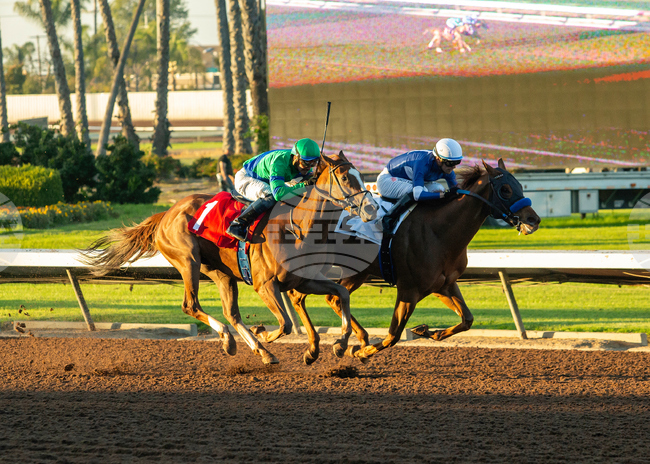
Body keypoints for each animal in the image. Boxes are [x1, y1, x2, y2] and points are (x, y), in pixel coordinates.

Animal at [81, 151, 378, 365]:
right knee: (191, 305)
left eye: (359, 175)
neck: (297, 227)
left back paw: (253, 348)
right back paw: (232, 340)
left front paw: (340, 345)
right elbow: (284, 323)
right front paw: (266, 333)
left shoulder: (304, 279)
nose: (372, 208)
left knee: (231, 313)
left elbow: (341, 293)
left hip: (221, 272)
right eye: (345, 178)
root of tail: (166, 212)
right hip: (188, 260)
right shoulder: (265, 285)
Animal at [284, 159, 541, 364]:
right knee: (300, 295)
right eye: (505, 189)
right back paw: (318, 349)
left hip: (357, 272)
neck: (439, 231)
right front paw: (361, 352)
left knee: (332, 298)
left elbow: (467, 319)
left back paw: (349, 340)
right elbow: (393, 335)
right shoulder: (409, 290)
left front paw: (427, 331)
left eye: (520, 185)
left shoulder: (443, 285)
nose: (534, 219)